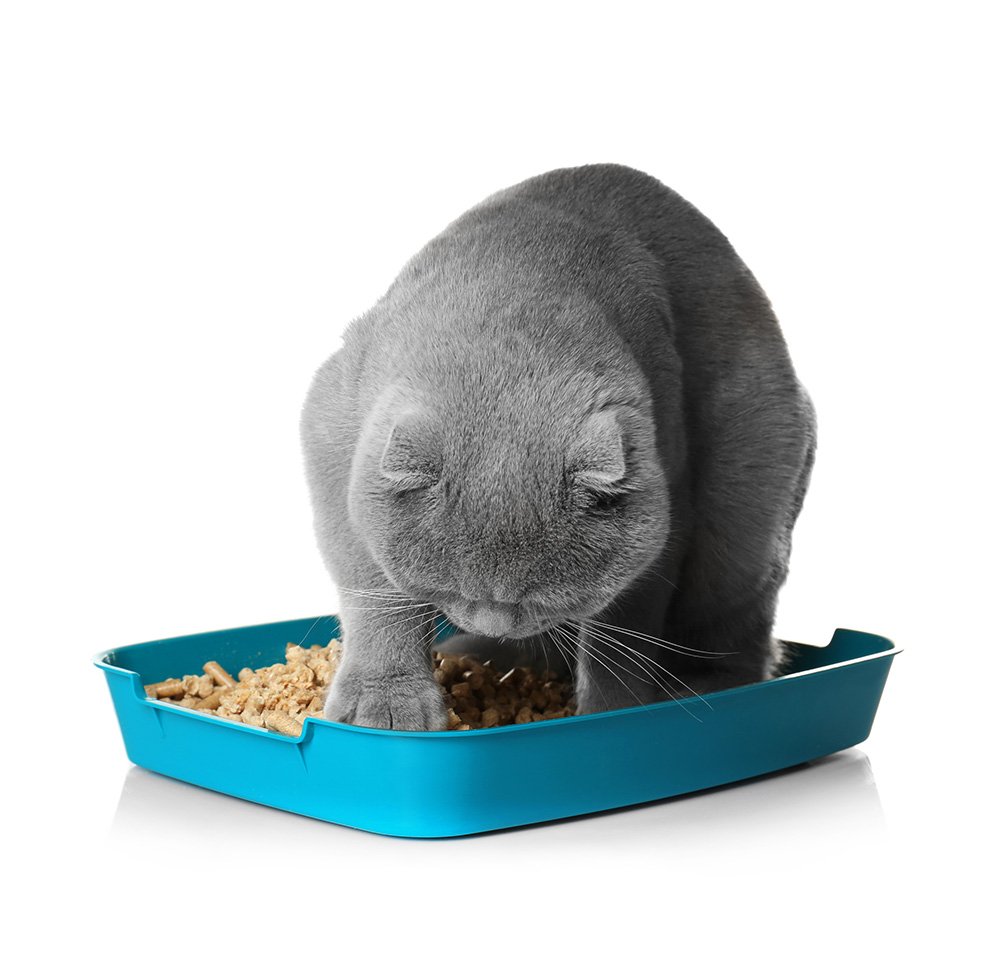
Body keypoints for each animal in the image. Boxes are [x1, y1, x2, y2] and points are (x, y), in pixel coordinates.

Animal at [300, 164, 816, 728]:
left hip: (746, 515)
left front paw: (609, 714)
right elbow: (374, 588)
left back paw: (705, 687)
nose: (496, 620)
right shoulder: (331, 436)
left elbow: (621, 630)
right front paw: (388, 703)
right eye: (450, 591)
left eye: (539, 598)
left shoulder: (670, 488)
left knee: (738, 627)